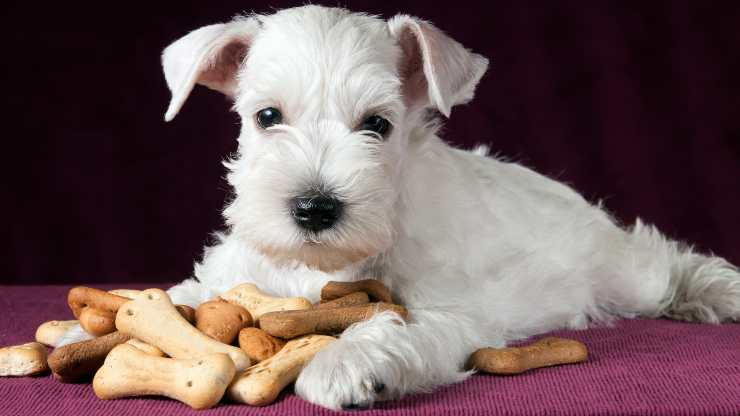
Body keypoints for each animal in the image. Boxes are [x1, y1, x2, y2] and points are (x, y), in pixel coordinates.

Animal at [59, 4, 740, 412]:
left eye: (378, 125)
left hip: (626, 272)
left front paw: (344, 364)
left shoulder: (445, 308)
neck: (319, 264)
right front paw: (82, 332)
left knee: (664, 260)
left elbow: (392, 325)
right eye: (267, 116)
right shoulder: (238, 275)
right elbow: (185, 294)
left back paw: (717, 290)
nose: (313, 208)